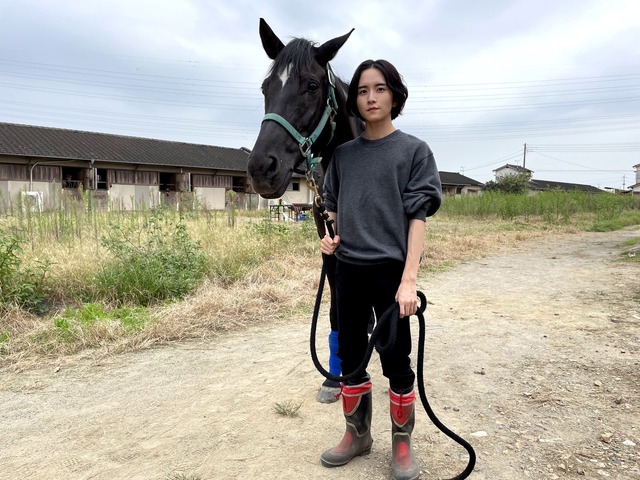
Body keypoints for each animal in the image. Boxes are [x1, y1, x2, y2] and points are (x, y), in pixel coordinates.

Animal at [248, 18, 362, 402]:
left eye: (312, 86)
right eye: (265, 87)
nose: (261, 168)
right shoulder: (326, 236)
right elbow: (336, 303)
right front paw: (334, 377)